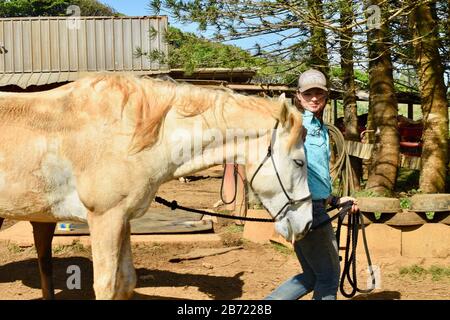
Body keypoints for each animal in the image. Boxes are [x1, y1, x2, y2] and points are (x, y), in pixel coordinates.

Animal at [0, 74, 312, 298]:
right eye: (299, 162)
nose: (306, 224)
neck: (126, 134)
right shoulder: (104, 219)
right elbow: (106, 286)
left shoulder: (122, 220)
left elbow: (126, 282)